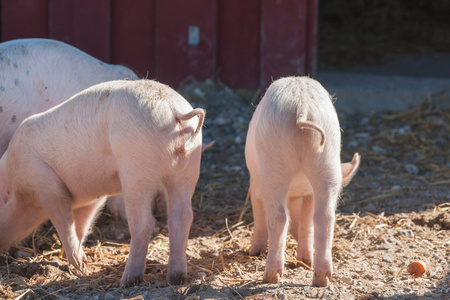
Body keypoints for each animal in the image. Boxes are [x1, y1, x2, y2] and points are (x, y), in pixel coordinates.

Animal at [0, 79, 206, 286]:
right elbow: (79, 225)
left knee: (145, 222)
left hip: (137, 170)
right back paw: (176, 278)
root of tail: (173, 111)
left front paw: (81, 268)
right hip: (188, 168)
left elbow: (64, 223)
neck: (15, 182)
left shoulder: (46, 184)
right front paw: (74, 264)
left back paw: (128, 281)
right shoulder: (91, 197)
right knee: (182, 216)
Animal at [244, 77, 360, 286]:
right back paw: (320, 278)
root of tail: (302, 107)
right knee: (324, 216)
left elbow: (259, 211)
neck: (295, 191)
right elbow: (307, 219)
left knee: (279, 216)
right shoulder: (309, 193)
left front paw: (254, 253)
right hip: (327, 160)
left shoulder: (255, 185)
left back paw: (270, 277)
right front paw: (305, 260)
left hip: (274, 163)